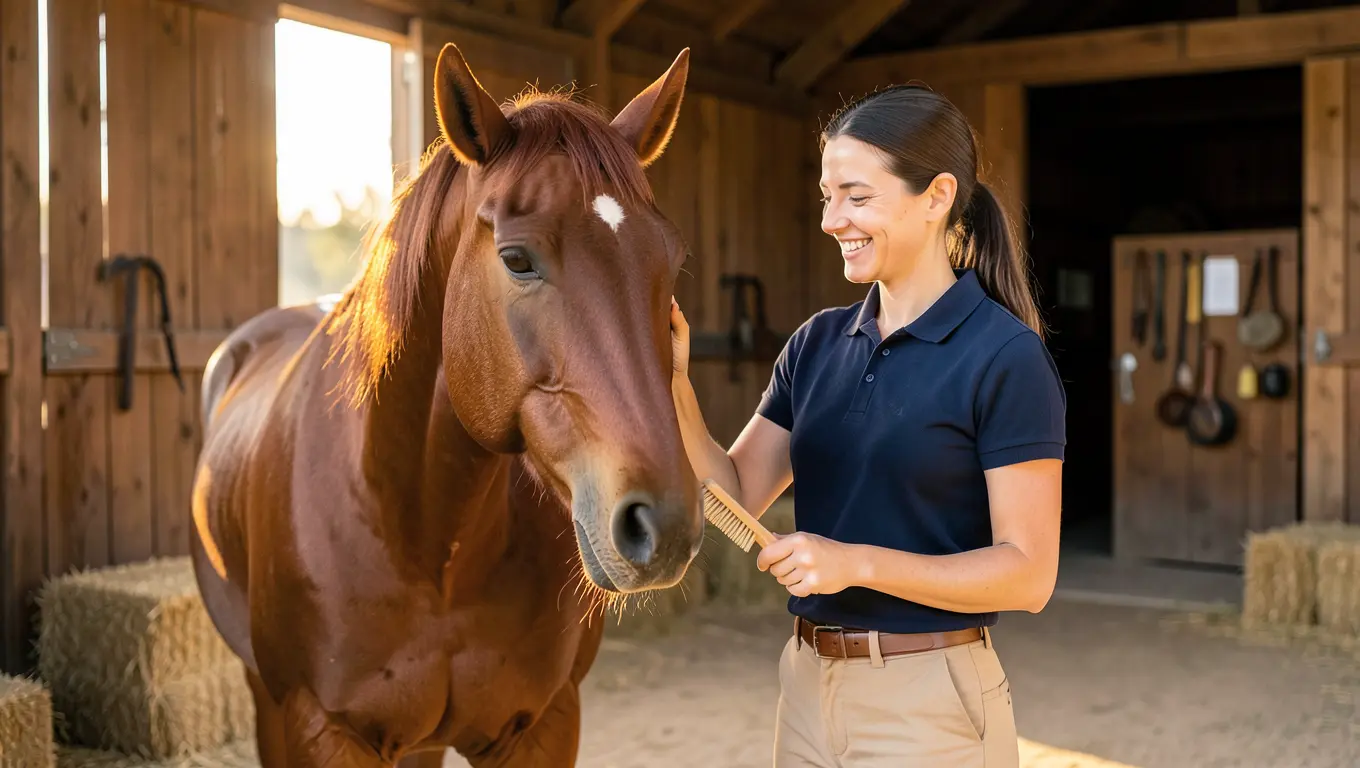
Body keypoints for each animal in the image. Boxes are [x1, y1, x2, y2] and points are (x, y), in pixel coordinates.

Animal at [189, 43, 704, 767]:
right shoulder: (324, 728)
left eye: (671, 261)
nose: (664, 525)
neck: (424, 535)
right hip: (268, 701)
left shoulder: (543, 723)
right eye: (516, 259)